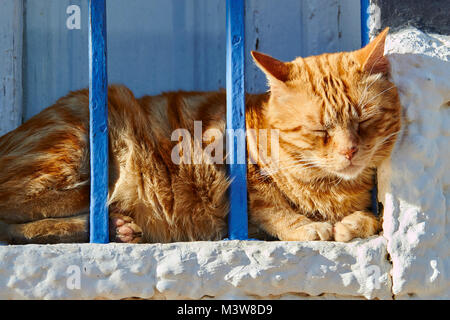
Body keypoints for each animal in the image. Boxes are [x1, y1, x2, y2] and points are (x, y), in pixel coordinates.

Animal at [0, 27, 400, 244]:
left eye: (364, 121)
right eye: (319, 128)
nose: (350, 152)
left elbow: (375, 218)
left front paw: (351, 224)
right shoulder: (218, 156)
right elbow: (268, 203)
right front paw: (307, 227)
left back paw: (115, 228)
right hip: (77, 142)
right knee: (13, 218)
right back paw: (105, 221)